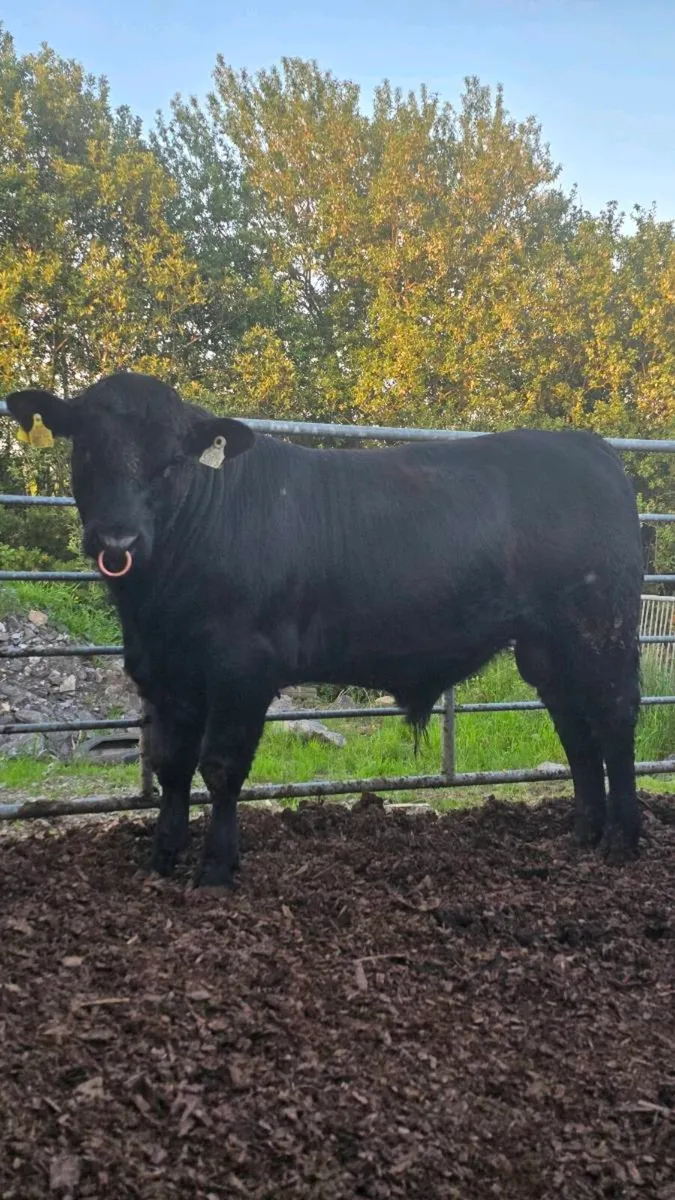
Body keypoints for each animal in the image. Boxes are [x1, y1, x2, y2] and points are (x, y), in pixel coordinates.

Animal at [5, 372, 644, 887]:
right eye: (87, 451)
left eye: (171, 463)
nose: (117, 540)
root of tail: (589, 446)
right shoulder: (163, 671)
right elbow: (171, 764)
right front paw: (162, 858)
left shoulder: (243, 667)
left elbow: (221, 766)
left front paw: (216, 869)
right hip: (546, 646)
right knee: (574, 727)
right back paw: (584, 833)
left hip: (600, 625)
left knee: (613, 717)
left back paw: (623, 841)